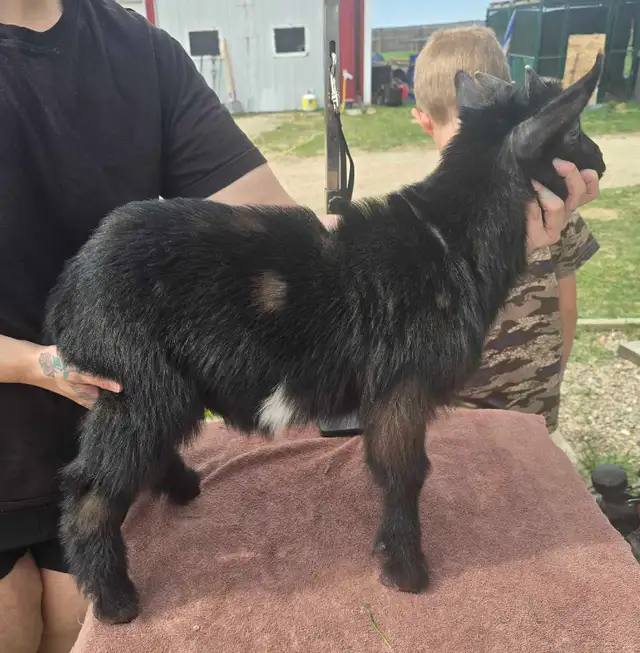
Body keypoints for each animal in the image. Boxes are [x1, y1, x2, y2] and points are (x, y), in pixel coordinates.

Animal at [45, 55, 606, 624]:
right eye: (574, 131)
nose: (601, 163)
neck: (450, 240)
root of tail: (72, 284)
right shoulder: (401, 386)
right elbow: (404, 473)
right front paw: (407, 573)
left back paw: (181, 489)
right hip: (137, 384)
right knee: (90, 488)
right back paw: (115, 600)